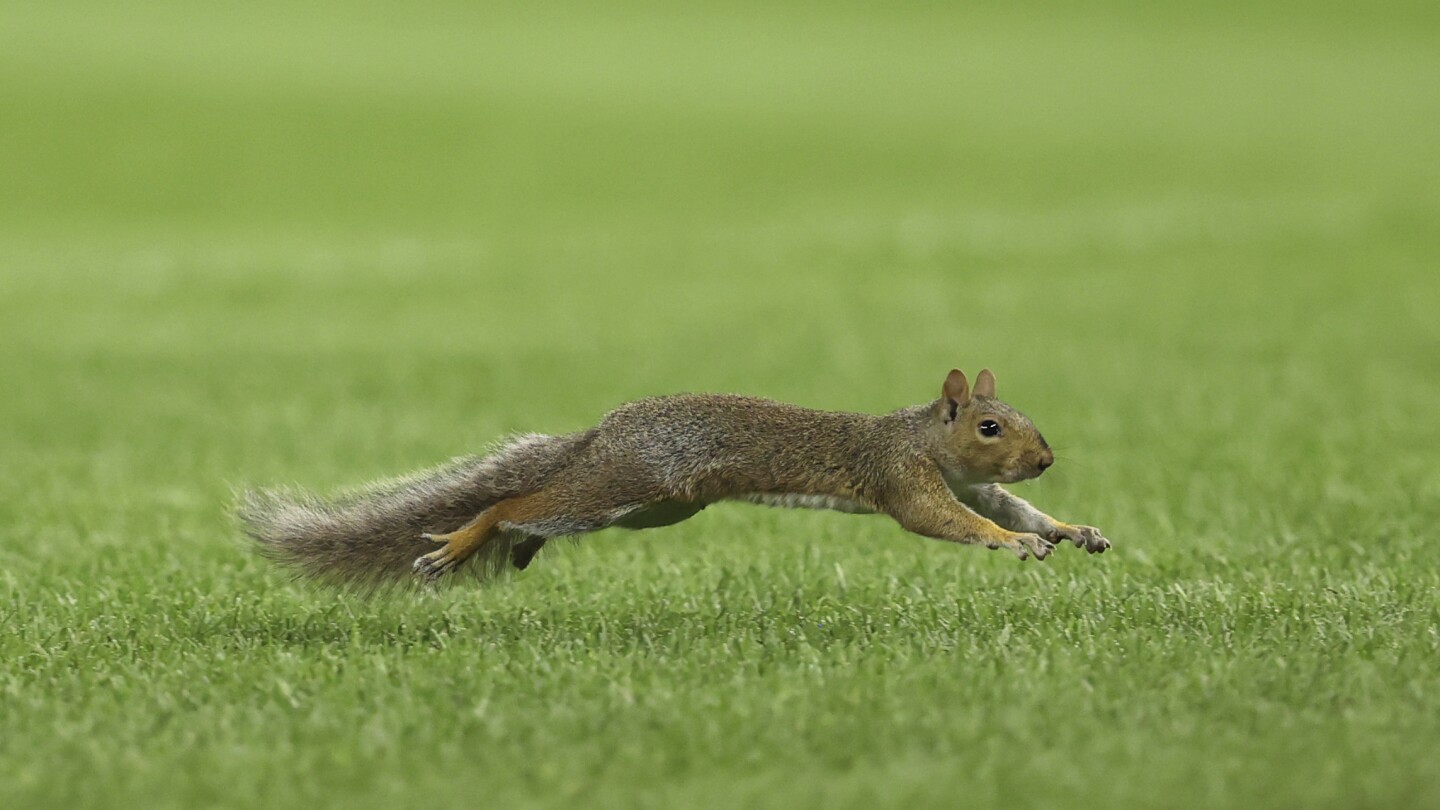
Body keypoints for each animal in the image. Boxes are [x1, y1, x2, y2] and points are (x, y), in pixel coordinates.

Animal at [239, 368, 1110, 588]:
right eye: (989, 426)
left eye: (1021, 419)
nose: (1046, 459)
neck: (923, 437)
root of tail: (603, 433)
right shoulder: (904, 479)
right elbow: (953, 523)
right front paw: (1011, 546)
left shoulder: (975, 483)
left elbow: (1017, 509)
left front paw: (1072, 528)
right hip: (619, 488)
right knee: (517, 501)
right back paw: (464, 542)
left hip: (653, 509)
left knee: (531, 515)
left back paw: (517, 550)